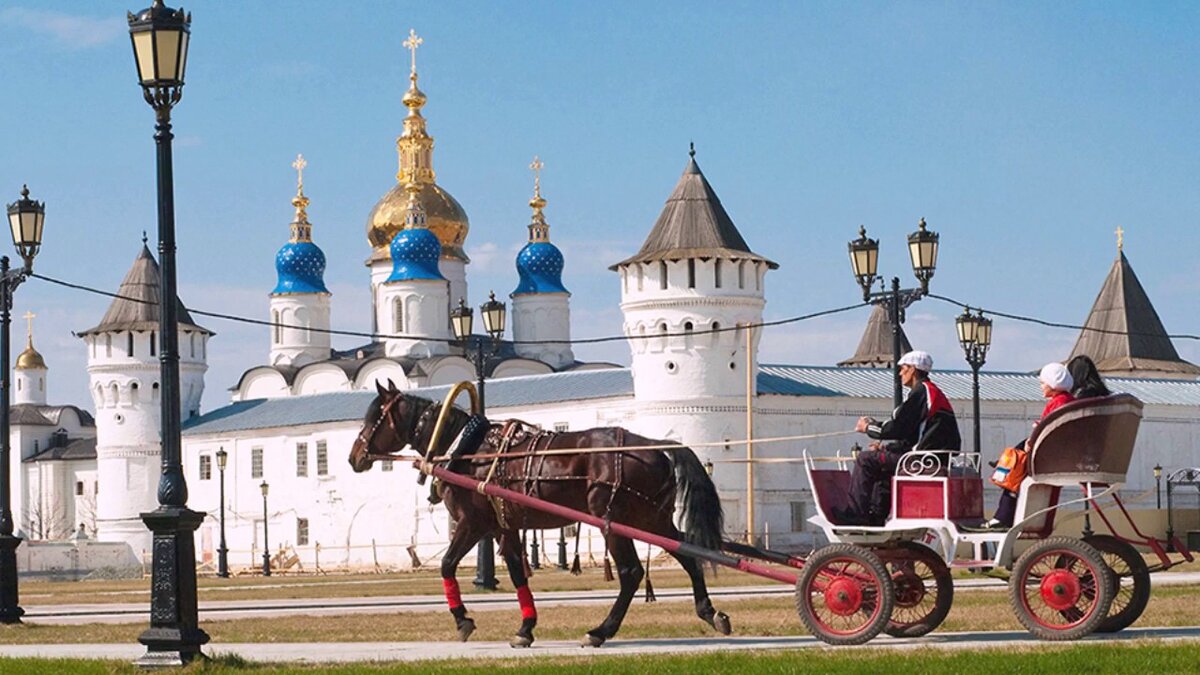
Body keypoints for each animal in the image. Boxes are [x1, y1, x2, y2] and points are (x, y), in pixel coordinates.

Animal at [348, 381, 729, 643]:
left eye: (373, 417)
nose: (354, 456)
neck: (466, 449)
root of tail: (653, 444)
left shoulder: (473, 523)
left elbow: (446, 564)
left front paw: (463, 620)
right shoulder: (503, 526)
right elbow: (518, 573)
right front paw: (526, 627)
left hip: (614, 521)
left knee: (631, 572)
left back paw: (601, 631)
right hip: (652, 519)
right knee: (688, 555)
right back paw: (709, 612)